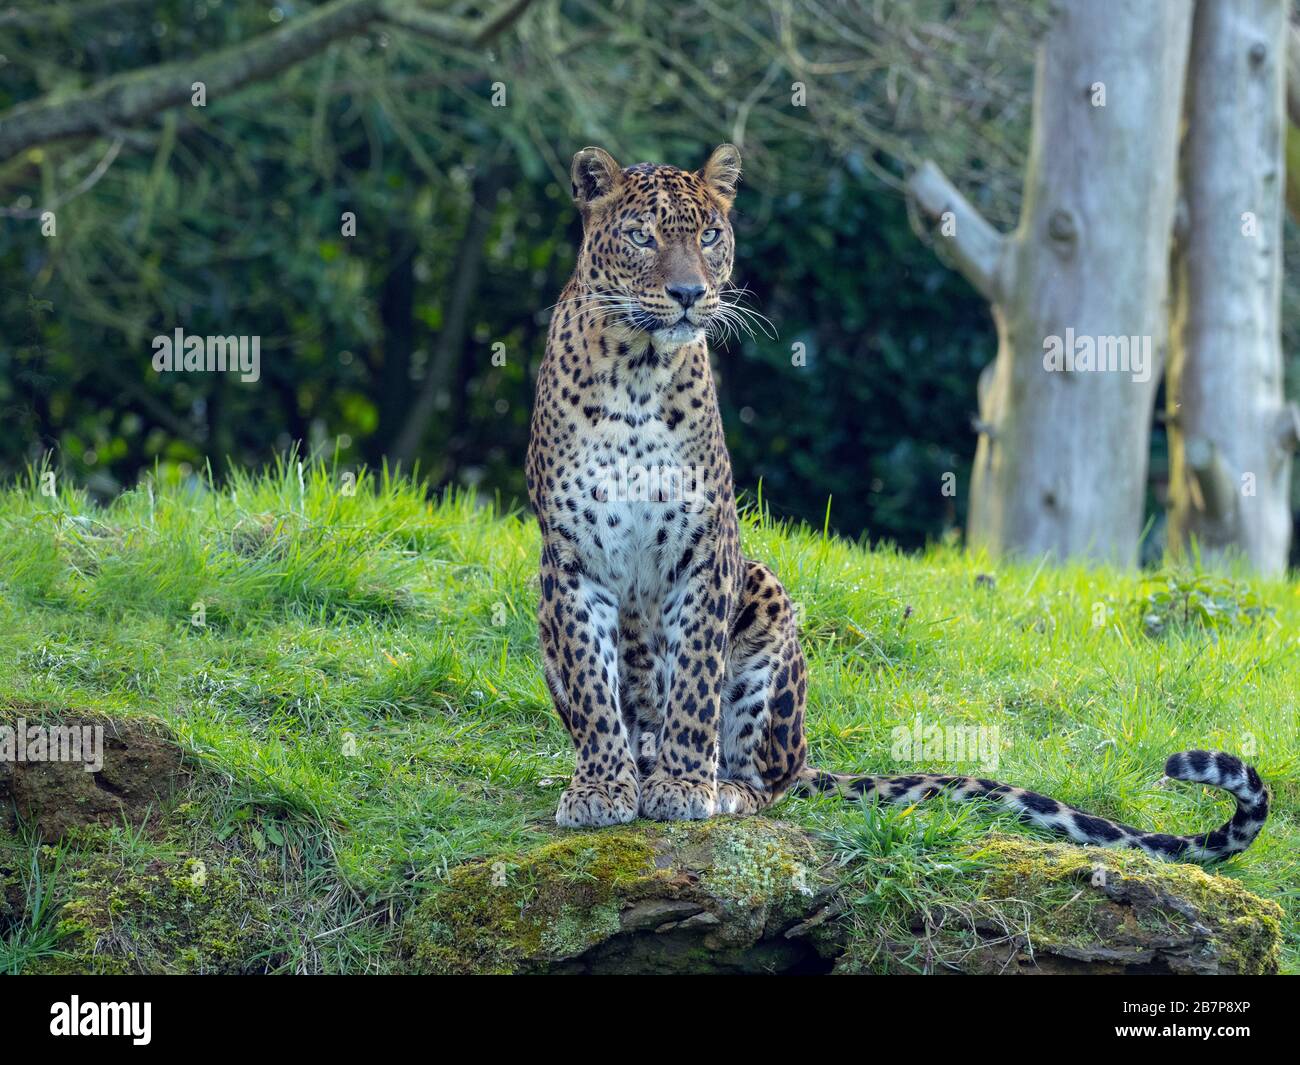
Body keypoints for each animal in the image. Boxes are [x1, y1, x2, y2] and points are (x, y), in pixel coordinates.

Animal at [524, 142, 1269, 863]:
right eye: (642, 236)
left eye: (709, 234)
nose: (688, 293)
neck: (638, 369)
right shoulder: (570, 559)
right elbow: (593, 687)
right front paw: (601, 789)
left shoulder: (706, 549)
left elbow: (695, 678)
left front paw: (682, 785)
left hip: (765, 594)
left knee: (769, 777)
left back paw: (722, 786)